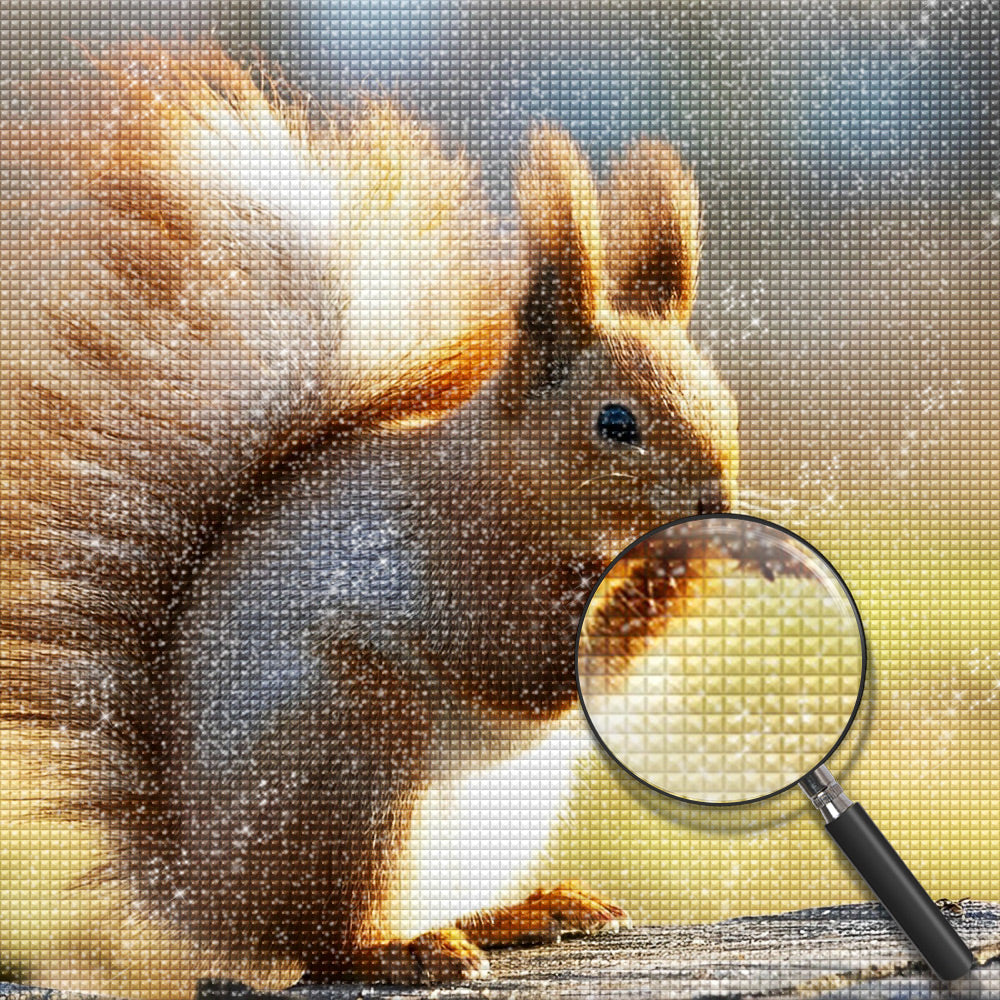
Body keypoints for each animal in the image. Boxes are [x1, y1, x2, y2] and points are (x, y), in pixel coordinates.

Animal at [0, 42, 738, 999]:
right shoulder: (444, 564)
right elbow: (519, 659)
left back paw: (520, 911)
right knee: (323, 941)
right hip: (352, 739)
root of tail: (196, 887)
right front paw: (668, 565)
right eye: (616, 423)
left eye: (723, 394)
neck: (508, 484)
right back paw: (404, 951)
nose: (716, 496)